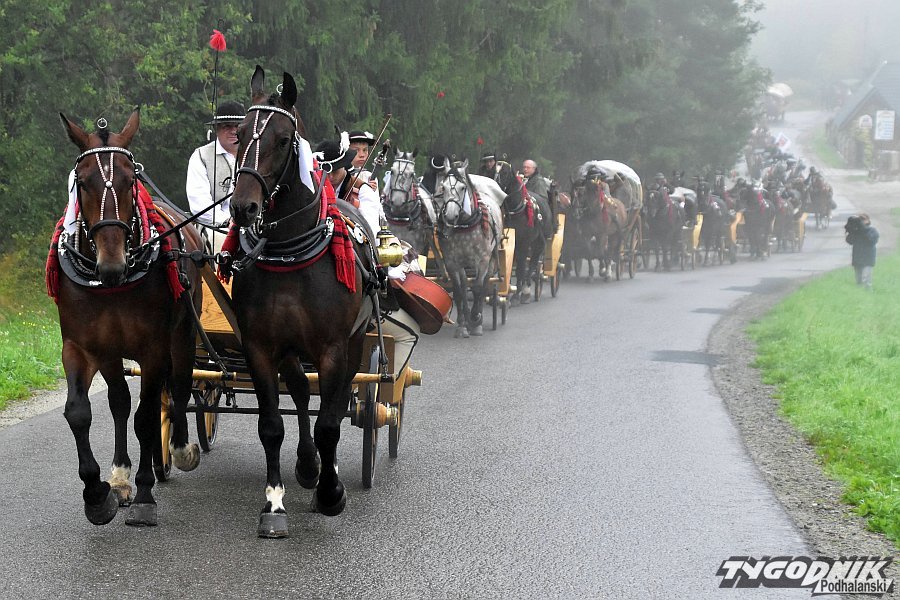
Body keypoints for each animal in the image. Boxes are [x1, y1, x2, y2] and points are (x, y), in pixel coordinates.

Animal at [55, 109, 203, 527]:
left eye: (130, 179)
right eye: (82, 182)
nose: (112, 265)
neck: (112, 286)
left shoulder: (154, 348)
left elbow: (147, 415)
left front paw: (144, 494)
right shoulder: (86, 346)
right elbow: (85, 412)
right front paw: (101, 491)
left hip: (183, 333)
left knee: (179, 388)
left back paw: (178, 450)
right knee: (124, 400)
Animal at [228, 67, 378, 536]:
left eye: (281, 139)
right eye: (239, 134)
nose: (243, 207)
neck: (290, 254)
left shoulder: (332, 347)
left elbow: (330, 421)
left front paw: (331, 493)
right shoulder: (260, 346)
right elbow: (271, 424)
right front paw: (274, 502)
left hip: (355, 341)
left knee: (340, 397)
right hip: (291, 349)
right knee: (296, 391)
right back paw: (308, 464)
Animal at [430, 158, 504, 338]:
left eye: (462, 187)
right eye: (443, 187)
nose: (450, 216)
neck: (465, 225)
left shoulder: (482, 259)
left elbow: (477, 288)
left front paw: (475, 320)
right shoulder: (451, 262)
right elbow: (458, 291)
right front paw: (462, 325)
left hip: (492, 258)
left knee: (485, 283)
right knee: (464, 286)